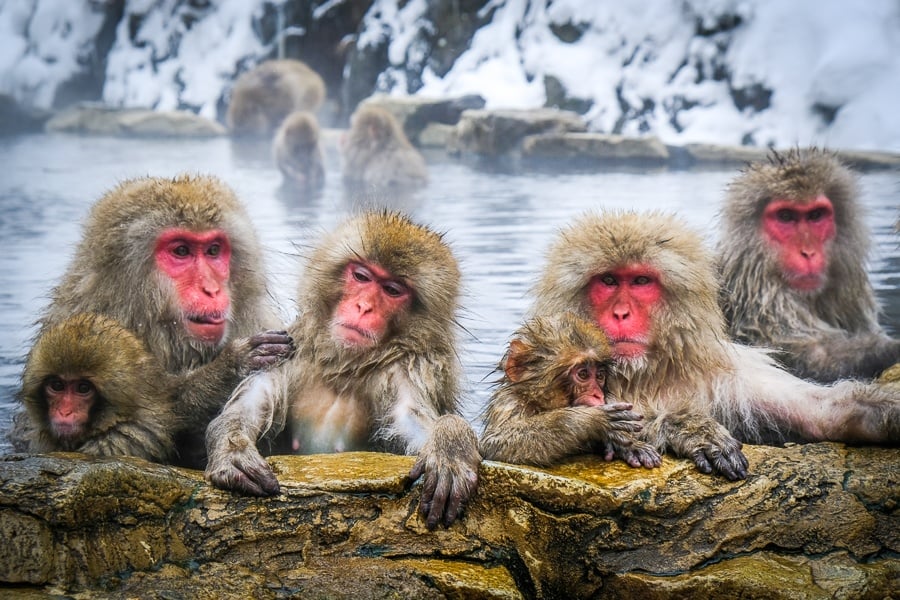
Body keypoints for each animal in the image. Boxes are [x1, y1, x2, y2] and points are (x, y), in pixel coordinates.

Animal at [205, 210, 480, 530]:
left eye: (392, 290)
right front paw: (232, 449)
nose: (363, 307)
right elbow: (248, 407)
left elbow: (410, 420)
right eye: (361, 276)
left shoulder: (405, 370)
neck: (343, 367)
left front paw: (450, 445)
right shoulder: (289, 349)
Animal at [479, 312, 663, 469]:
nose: (598, 395)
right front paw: (591, 420)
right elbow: (495, 443)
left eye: (600, 376)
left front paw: (629, 444)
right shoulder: (511, 403)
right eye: (583, 374)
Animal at [529, 210, 900, 480]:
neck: (646, 375)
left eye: (640, 281)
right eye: (607, 280)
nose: (620, 313)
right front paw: (690, 427)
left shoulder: (736, 375)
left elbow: (824, 414)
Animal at [718, 147, 900, 383]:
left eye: (816, 215)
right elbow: (803, 357)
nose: (808, 253)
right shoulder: (761, 309)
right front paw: (889, 350)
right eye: (786, 216)